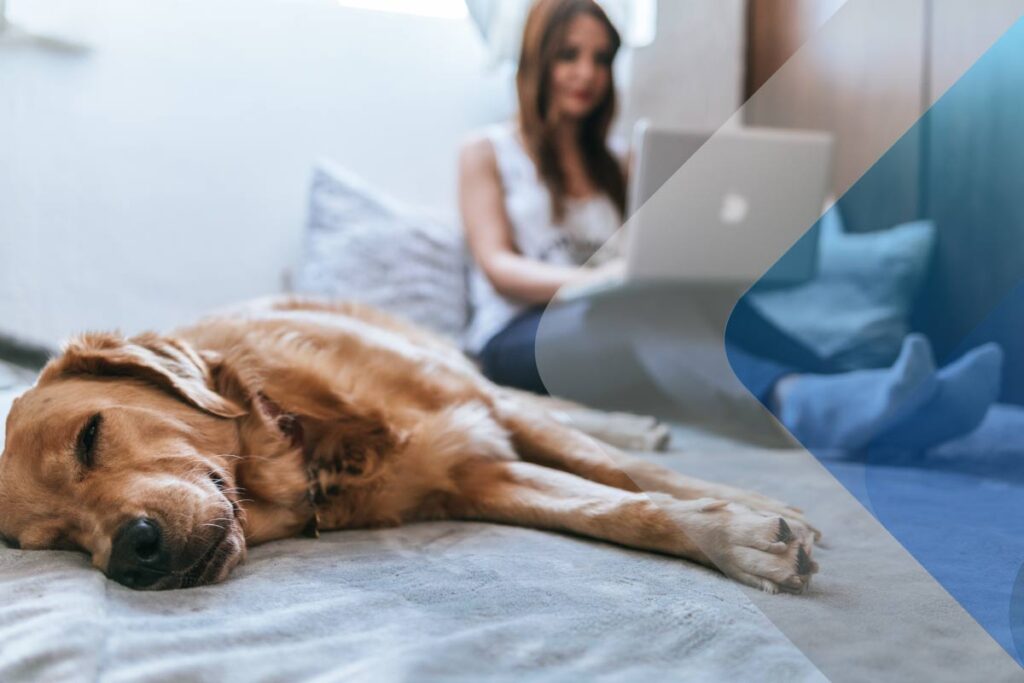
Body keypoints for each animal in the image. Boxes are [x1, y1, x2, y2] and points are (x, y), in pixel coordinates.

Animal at [0, 299, 819, 593]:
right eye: (54, 540)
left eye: (91, 435)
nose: (130, 554)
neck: (306, 435)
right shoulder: (481, 478)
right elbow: (619, 509)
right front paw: (738, 537)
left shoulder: (482, 412)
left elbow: (616, 468)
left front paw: (751, 509)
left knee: (560, 409)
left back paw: (636, 421)